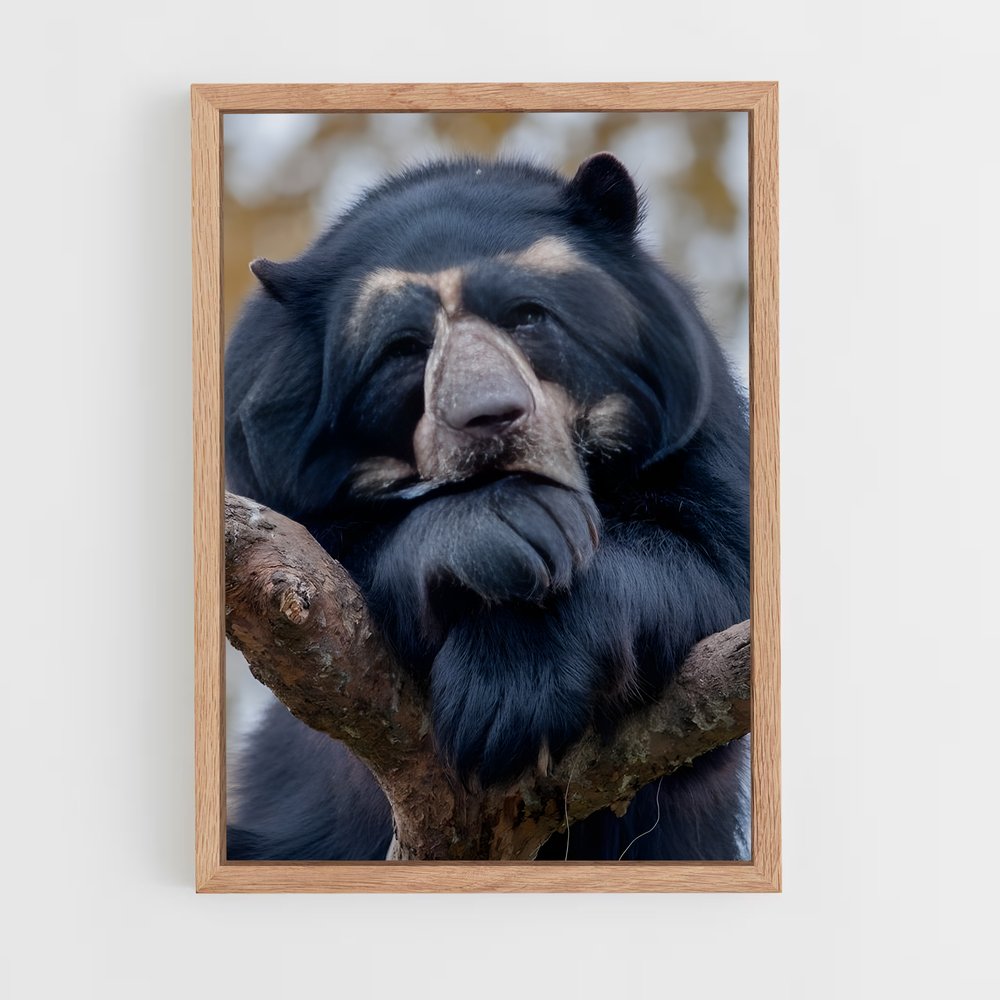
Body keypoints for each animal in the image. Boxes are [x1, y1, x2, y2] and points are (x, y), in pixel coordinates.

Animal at [224, 153, 750, 861]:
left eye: (528, 315)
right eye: (405, 348)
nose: (489, 417)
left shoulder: (697, 429)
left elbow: (712, 565)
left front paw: (501, 703)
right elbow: (327, 567)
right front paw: (513, 524)